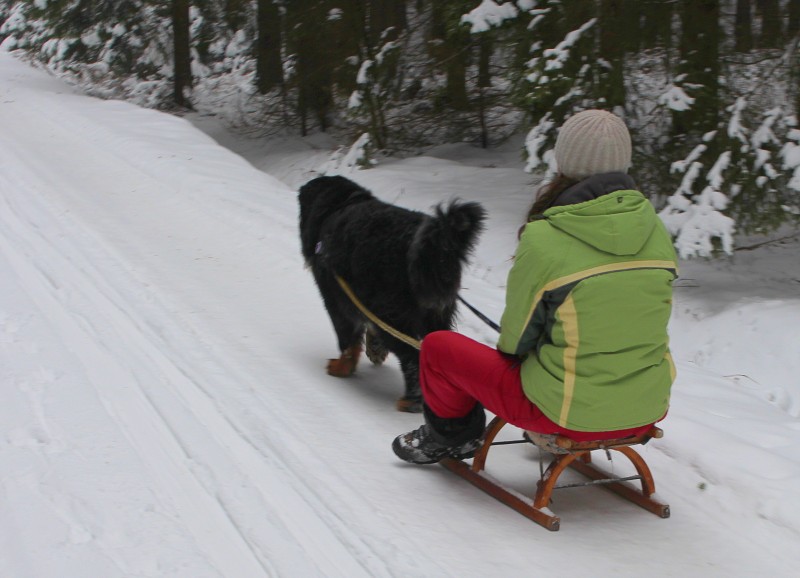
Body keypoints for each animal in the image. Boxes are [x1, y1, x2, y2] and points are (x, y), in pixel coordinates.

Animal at [298, 174, 484, 410]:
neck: (339, 206)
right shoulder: (363, 303)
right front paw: (374, 351)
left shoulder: (336, 299)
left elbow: (347, 340)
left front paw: (341, 368)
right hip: (433, 318)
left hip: (392, 315)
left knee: (413, 357)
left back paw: (412, 400)